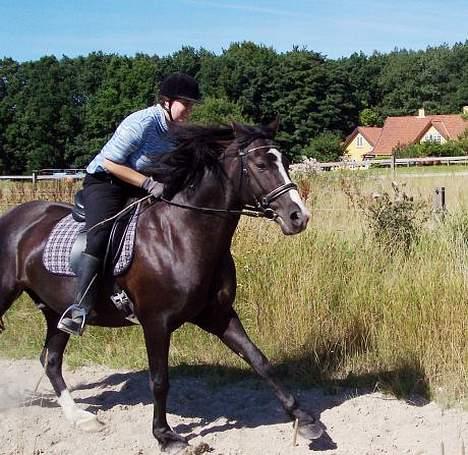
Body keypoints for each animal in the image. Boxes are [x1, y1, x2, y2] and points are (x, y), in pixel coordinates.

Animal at [0, 120, 322, 452]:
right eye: (260, 164)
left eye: (284, 162)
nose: (299, 217)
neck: (181, 235)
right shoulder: (155, 323)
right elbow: (159, 380)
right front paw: (165, 435)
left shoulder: (218, 315)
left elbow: (259, 360)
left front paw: (304, 419)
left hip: (57, 311)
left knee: (50, 360)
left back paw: (81, 418)